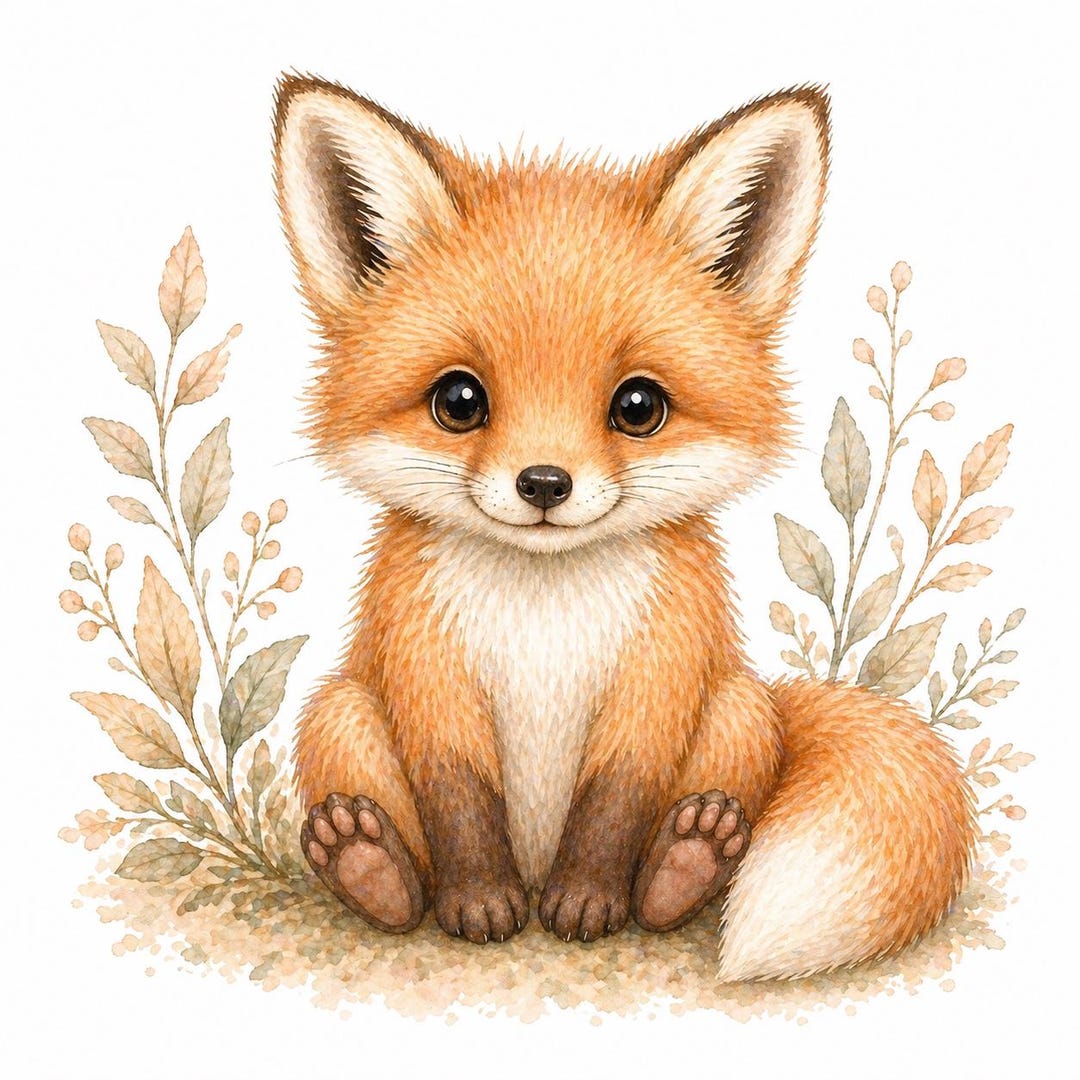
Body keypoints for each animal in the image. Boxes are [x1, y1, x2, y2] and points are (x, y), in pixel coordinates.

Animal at [272, 74, 976, 980]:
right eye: (459, 400)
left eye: (638, 406)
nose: (544, 482)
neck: (545, 608)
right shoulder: (426, 664)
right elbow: (460, 799)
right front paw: (478, 901)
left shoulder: (662, 661)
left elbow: (617, 797)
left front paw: (589, 901)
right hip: (342, 711)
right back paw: (371, 867)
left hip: (740, 709)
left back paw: (685, 865)